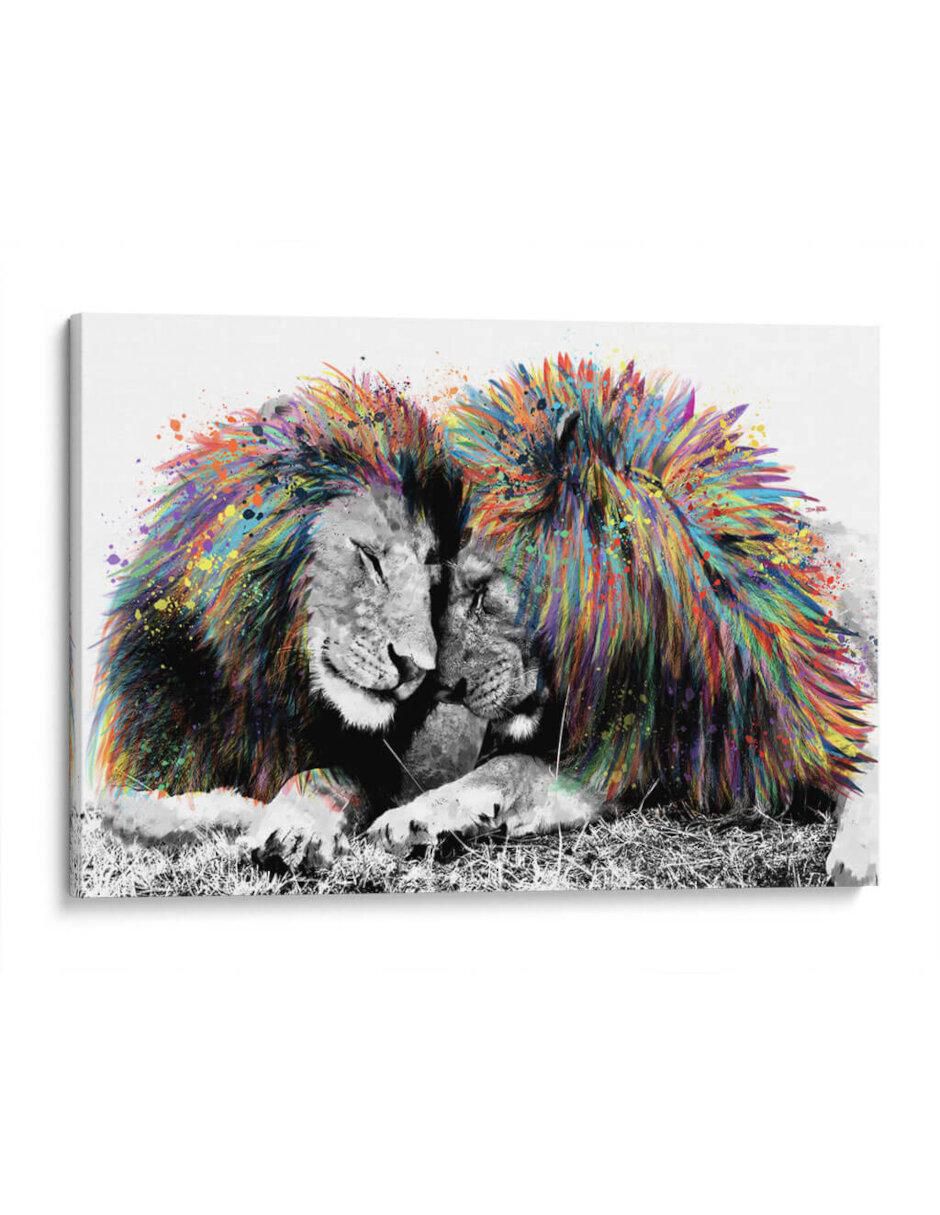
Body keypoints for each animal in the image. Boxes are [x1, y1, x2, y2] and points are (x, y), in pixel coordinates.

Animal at [92, 369, 465, 871]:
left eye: (434, 581)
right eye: (371, 558)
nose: (418, 669)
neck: (265, 683)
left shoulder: (368, 764)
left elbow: (326, 778)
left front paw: (294, 829)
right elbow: (134, 808)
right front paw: (241, 810)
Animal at [368, 355, 876, 882]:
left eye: (483, 593)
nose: (441, 688)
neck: (665, 667)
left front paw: (858, 860)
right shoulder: (602, 766)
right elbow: (501, 770)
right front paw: (411, 818)